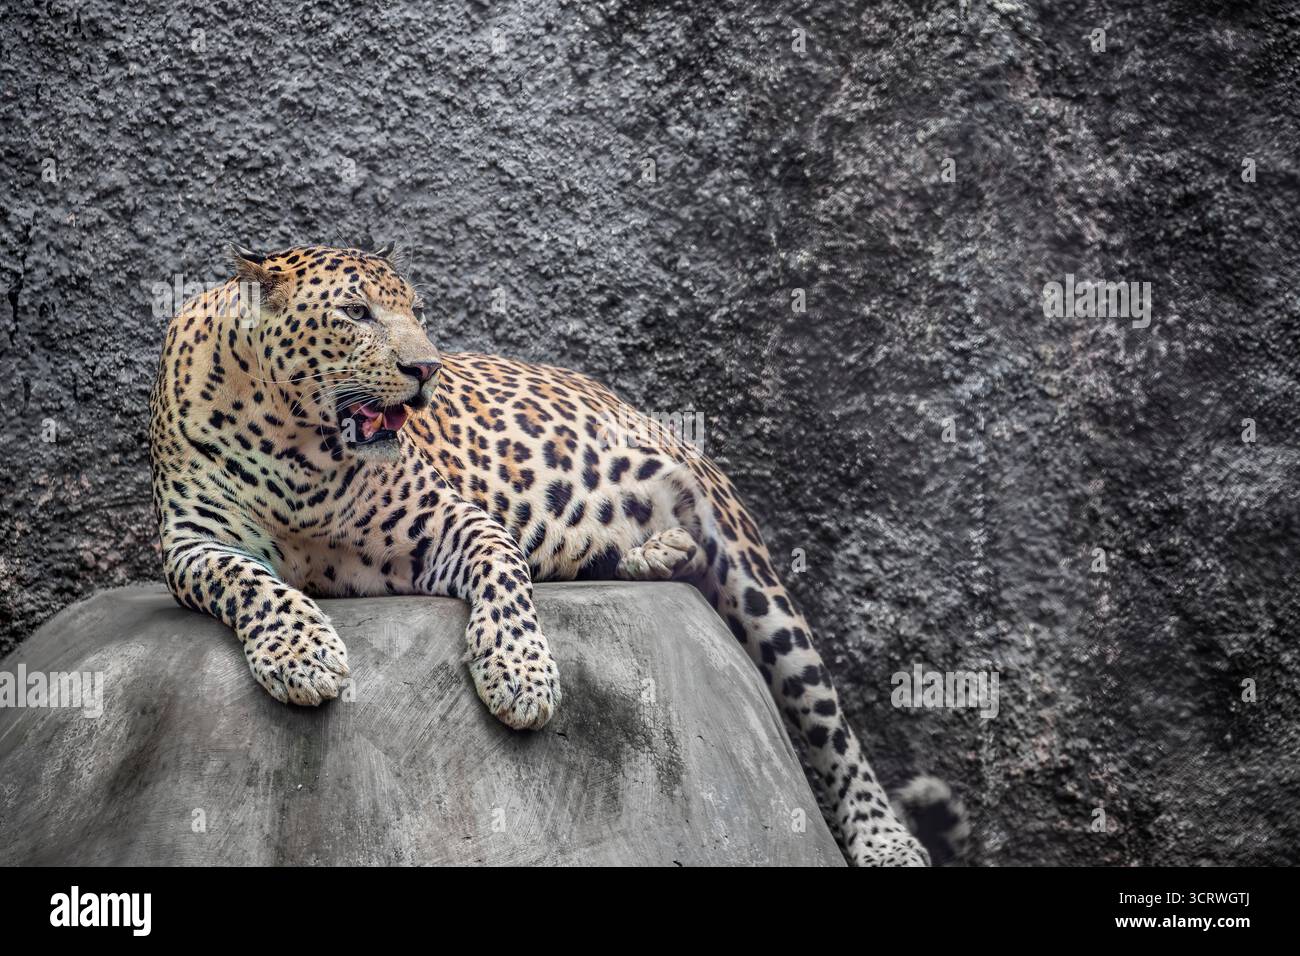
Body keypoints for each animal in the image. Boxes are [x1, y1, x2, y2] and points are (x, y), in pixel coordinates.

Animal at [147, 242, 938, 866]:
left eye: (416, 312)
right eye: (356, 312)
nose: (426, 368)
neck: (297, 445)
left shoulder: (450, 522)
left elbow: (505, 576)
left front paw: (519, 675)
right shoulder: (191, 544)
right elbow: (248, 580)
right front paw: (302, 652)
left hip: (745, 559)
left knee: (828, 719)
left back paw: (887, 841)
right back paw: (656, 553)